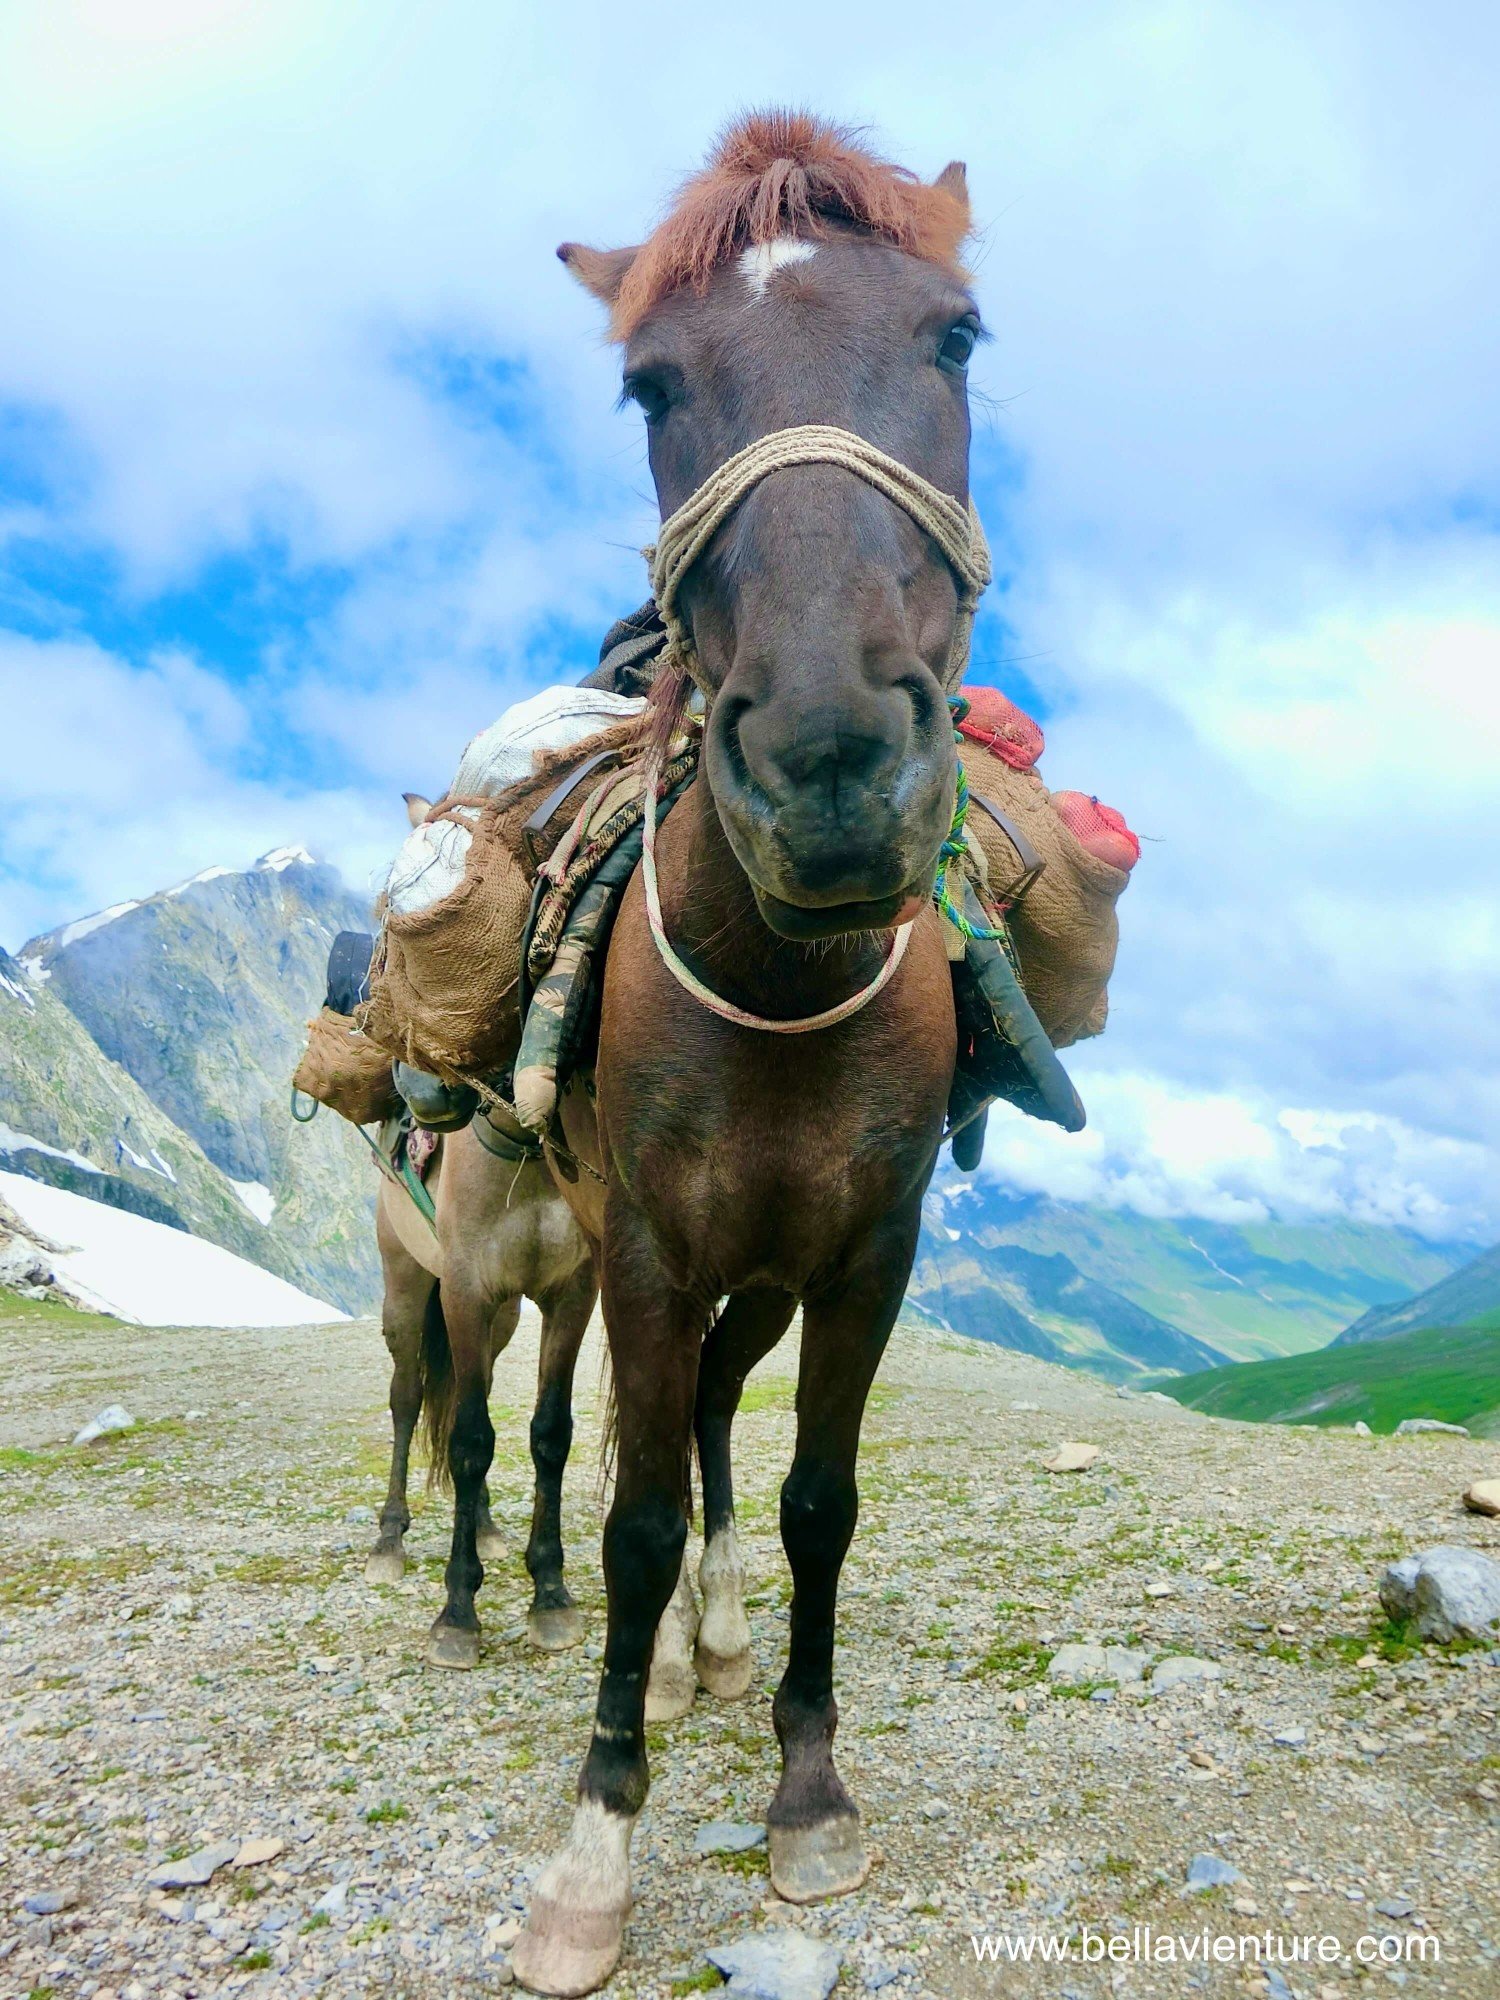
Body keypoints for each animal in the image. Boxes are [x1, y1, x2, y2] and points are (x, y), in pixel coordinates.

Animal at [365, 796, 600, 1663]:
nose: (421, 1084)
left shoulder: (570, 1296)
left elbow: (545, 1433)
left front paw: (550, 1592)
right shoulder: (464, 1291)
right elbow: (467, 1440)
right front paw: (458, 1612)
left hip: (499, 1318)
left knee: (482, 1393)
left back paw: (492, 1529)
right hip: (408, 1285)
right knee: (407, 1398)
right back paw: (391, 1539)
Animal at [501, 111, 981, 1995]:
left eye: (956, 339)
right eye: (648, 386)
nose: (834, 759)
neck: (779, 975)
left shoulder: (862, 1257)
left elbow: (815, 1503)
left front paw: (809, 1792)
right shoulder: (642, 1249)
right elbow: (629, 1521)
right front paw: (593, 1849)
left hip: (764, 1278)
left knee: (713, 1409)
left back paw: (711, 1640)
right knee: (642, 1431)